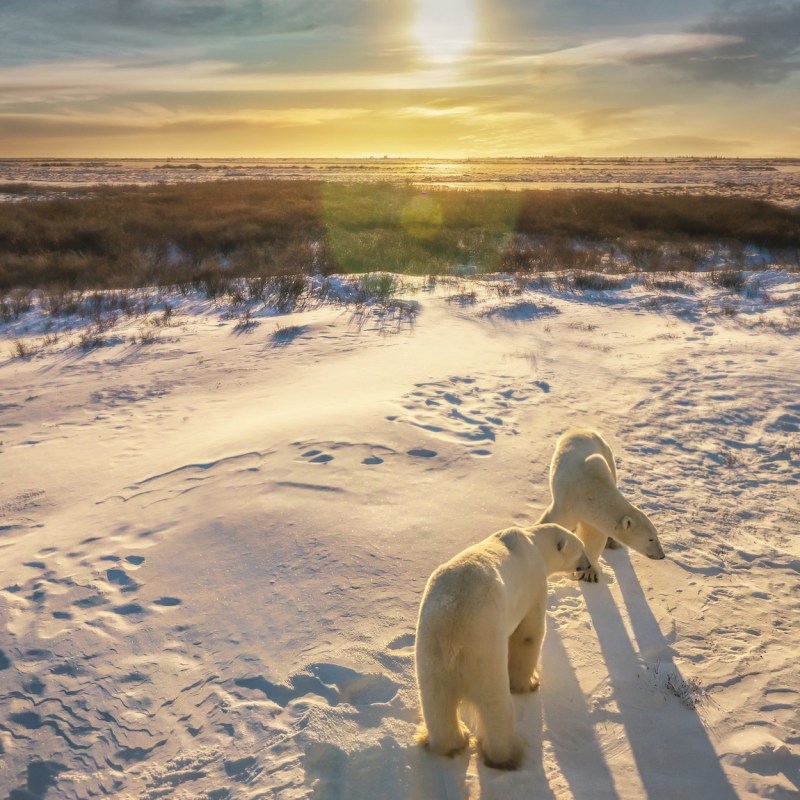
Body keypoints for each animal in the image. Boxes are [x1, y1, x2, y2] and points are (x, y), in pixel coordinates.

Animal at [416, 524, 592, 768]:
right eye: (581, 549)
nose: (589, 565)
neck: (534, 542)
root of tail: (452, 635)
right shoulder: (534, 585)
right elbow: (528, 635)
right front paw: (529, 683)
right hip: (484, 651)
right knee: (495, 705)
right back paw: (508, 754)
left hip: (430, 653)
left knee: (437, 703)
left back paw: (453, 742)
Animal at [536, 432, 668, 580]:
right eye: (650, 538)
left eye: (656, 534)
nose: (662, 555)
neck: (593, 492)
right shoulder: (568, 503)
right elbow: (553, 522)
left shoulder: (594, 515)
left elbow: (595, 537)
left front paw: (589, 573)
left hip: (608, 456)